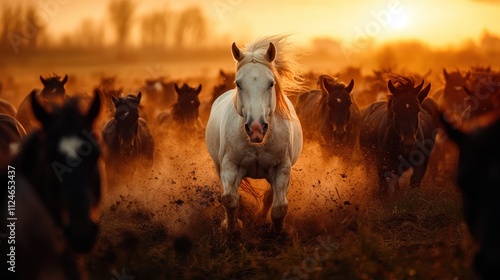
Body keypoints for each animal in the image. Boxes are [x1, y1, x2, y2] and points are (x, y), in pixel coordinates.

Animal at [204, 35, 304, 234]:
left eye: (271, 83)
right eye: (238, 83)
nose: (256, 128)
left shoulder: (282, 167)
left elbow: (279, 207)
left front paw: (276, 233)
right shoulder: (230, 165)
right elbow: (229, 199)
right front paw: (232, 228)